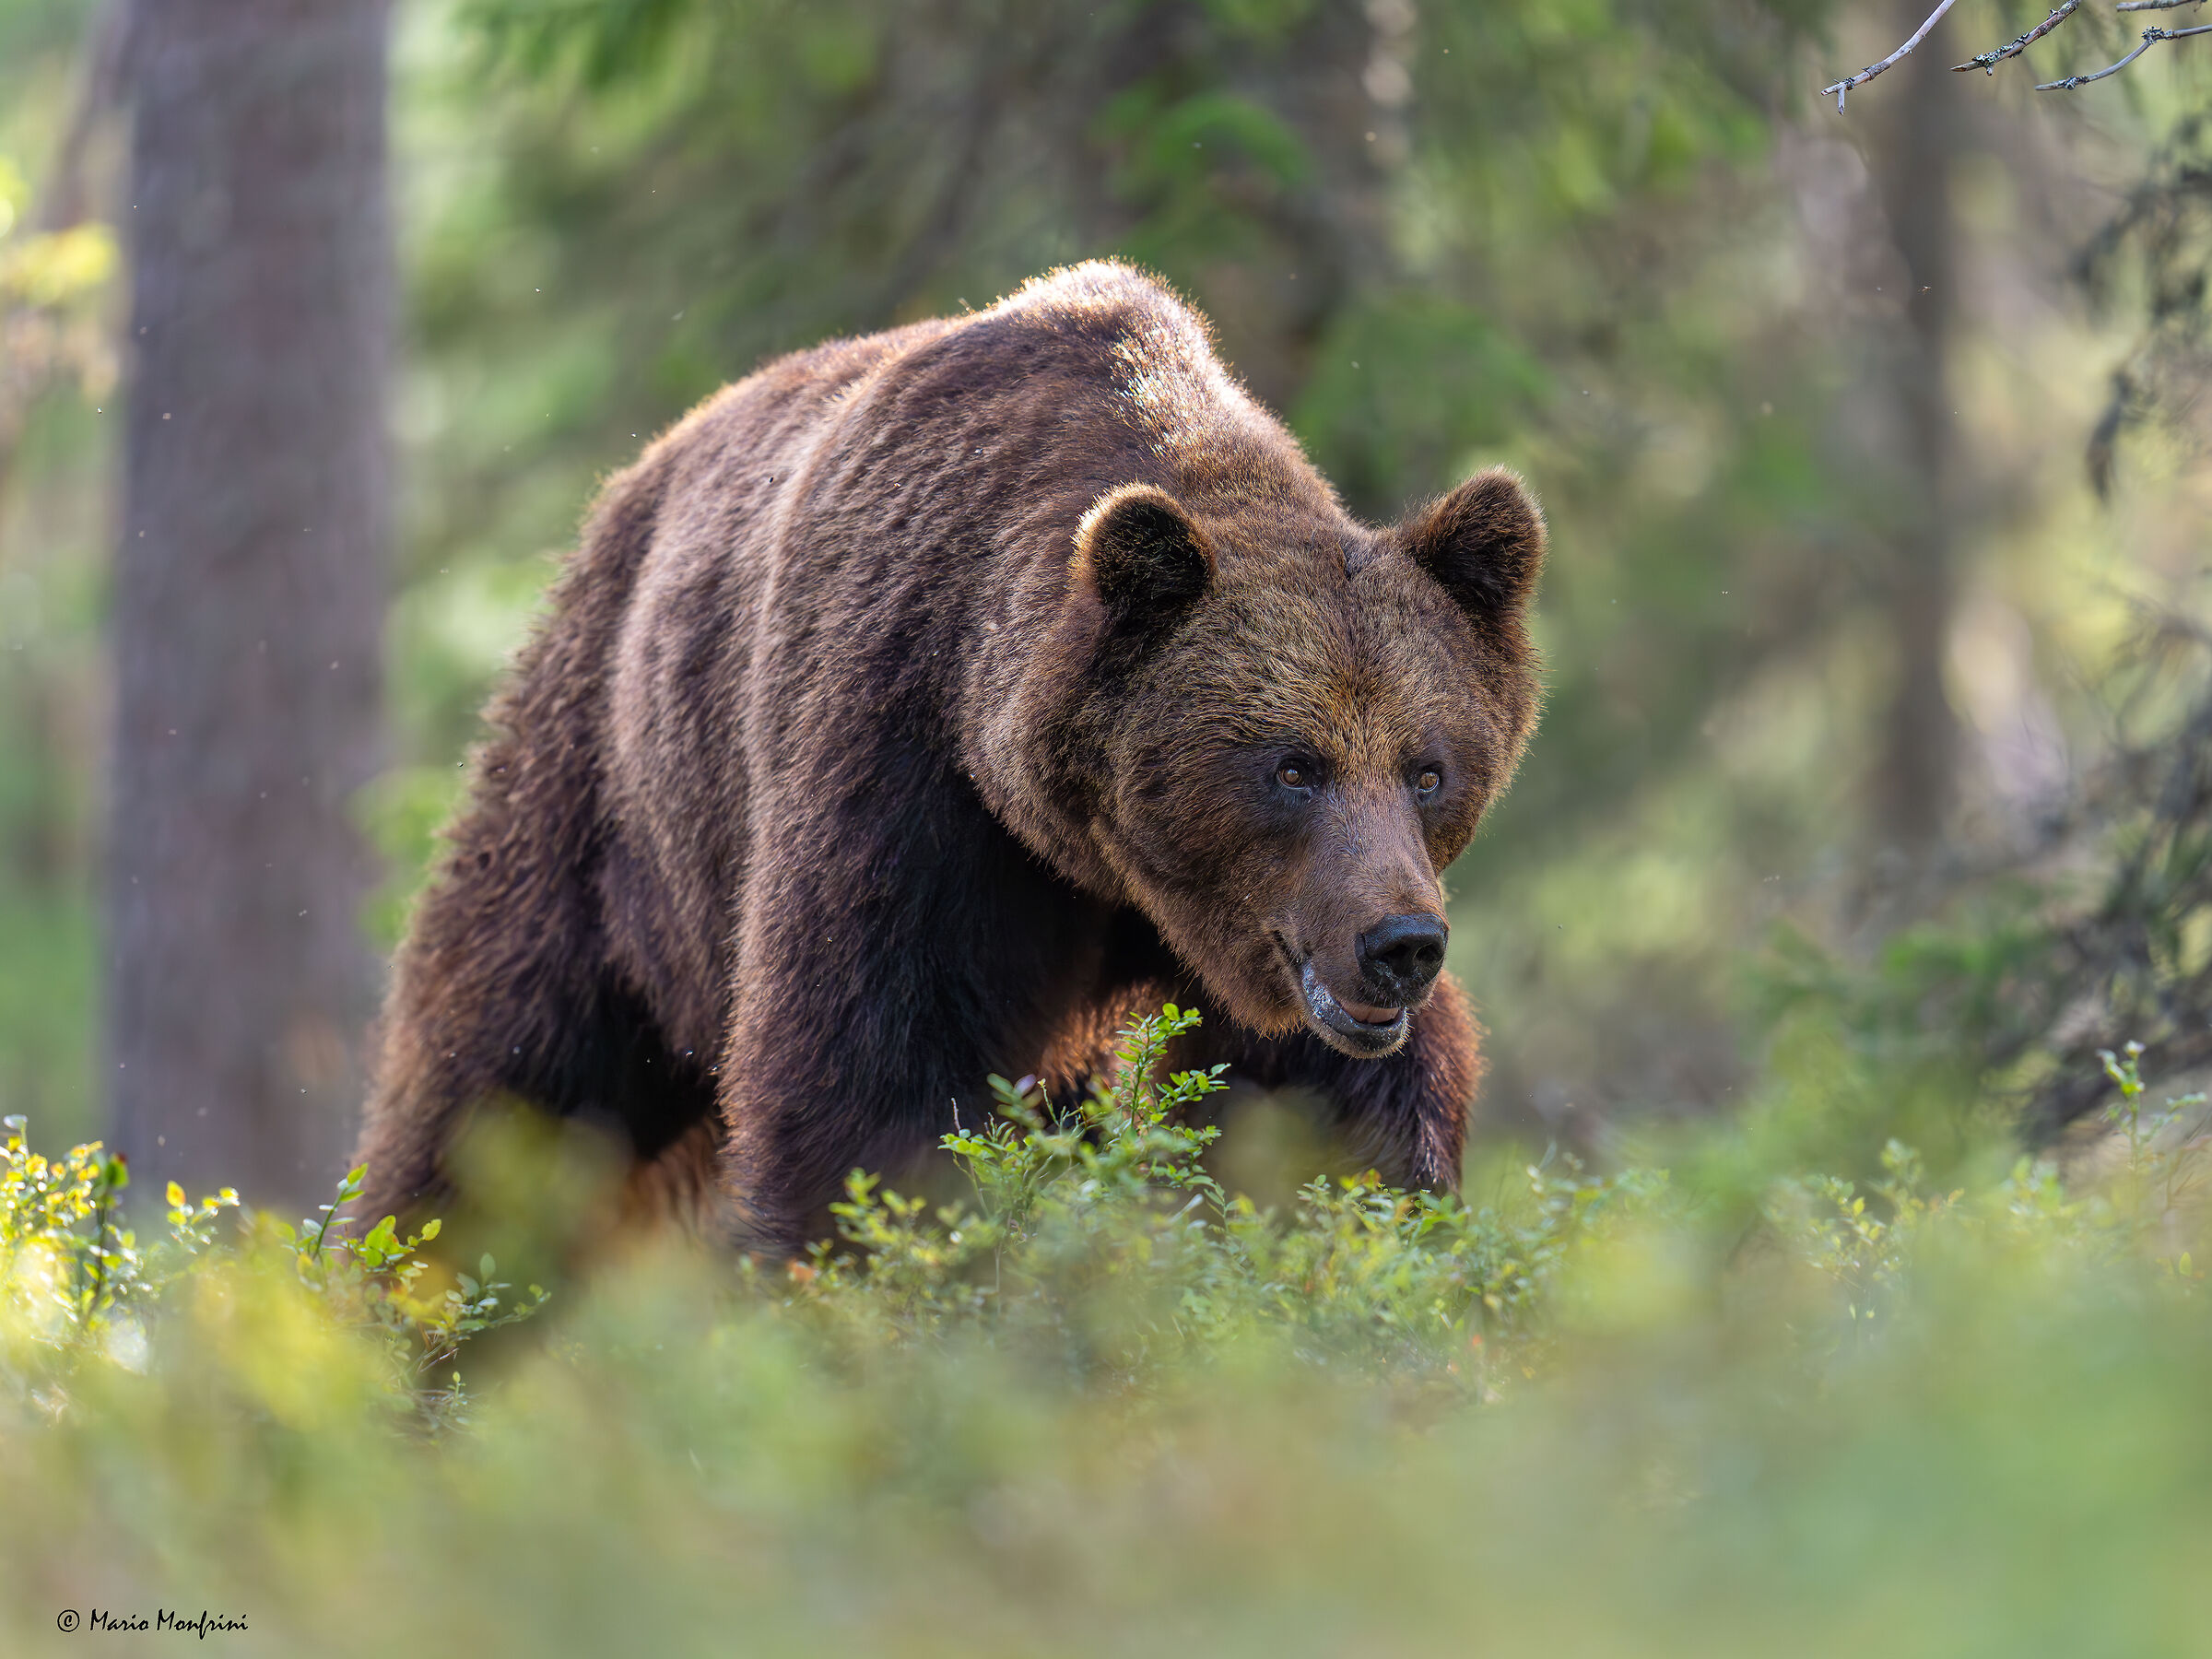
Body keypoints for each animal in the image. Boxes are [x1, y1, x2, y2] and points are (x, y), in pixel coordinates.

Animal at [355, 260, 1545, 1257]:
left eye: (1429, 769)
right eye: (1292, 767)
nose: (1401, 946)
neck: (1086, 852)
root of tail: (626, 490)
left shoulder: (1252, 942)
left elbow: (1331, 1115)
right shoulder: (903, 774)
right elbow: (869, 1089)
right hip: (605, 813)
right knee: (497, 1099)